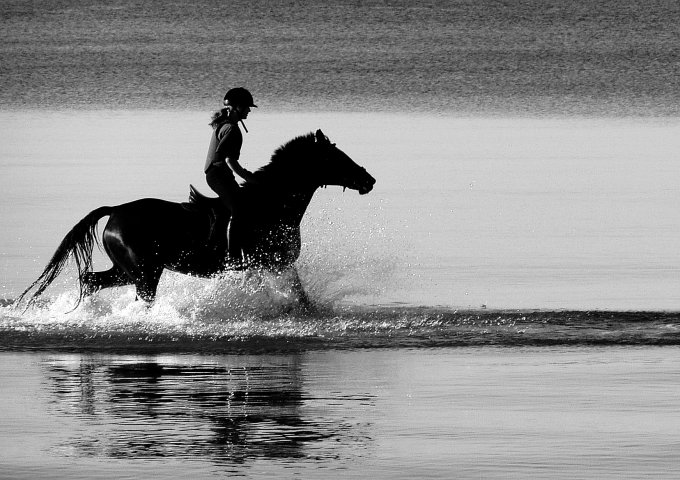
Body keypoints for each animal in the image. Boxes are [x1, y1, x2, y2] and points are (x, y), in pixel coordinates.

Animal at [15, 130, 374, 312]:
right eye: (336, 158)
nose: (368, 180)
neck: (272, 205)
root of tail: (115, 210)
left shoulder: (275, 265)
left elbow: (300, 297)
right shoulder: (264, 264)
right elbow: (292, 296)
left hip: (126, 270)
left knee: (91, 280)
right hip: (145, 272)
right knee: (133, 294)